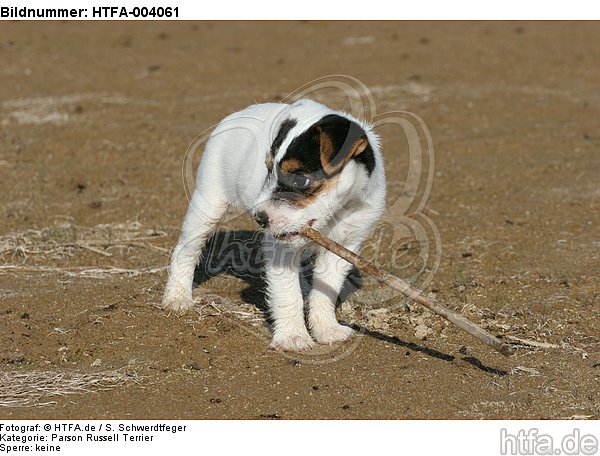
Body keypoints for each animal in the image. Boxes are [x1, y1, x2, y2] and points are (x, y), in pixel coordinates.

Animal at [162, 98, 386, 350]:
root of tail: (241, 112)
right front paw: (293, 337)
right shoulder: (280, 249)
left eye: (301, 180)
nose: (259, 217)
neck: (336, 215)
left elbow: (324, 292)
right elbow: (287, 294)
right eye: (268, 169)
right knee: (186, 250)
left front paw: (327, 329)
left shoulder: (344, 247)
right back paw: (177, 297)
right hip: (208, 204)